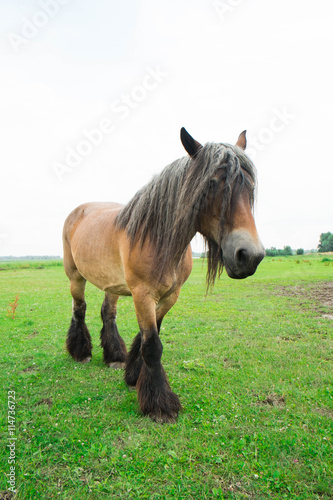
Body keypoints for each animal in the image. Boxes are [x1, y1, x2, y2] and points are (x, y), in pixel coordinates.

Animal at [62, 128, 264, 422]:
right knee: (79, 309)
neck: (159, 239)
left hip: (112, 285)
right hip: (75, 277)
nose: (249, 256)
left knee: (107, 314)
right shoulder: (143, 295)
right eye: (212, 184)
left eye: (250, 187)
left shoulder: (170, 296)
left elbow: (150, 335)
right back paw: (80, 352)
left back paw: (114, 355)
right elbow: (152, 345)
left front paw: (134, 375)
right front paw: (159, 404)